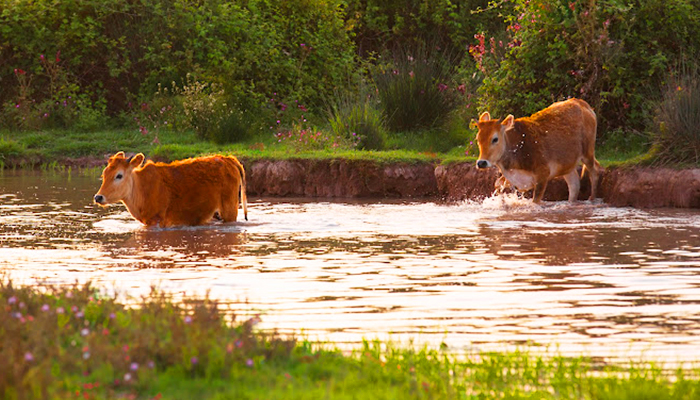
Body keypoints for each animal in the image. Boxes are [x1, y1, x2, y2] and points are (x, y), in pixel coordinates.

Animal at [94, 152, 249, 228]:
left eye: (119, 175)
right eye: (104, 174)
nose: (98, 197)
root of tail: (228, 159)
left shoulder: (156, 221)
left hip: (229, 209)